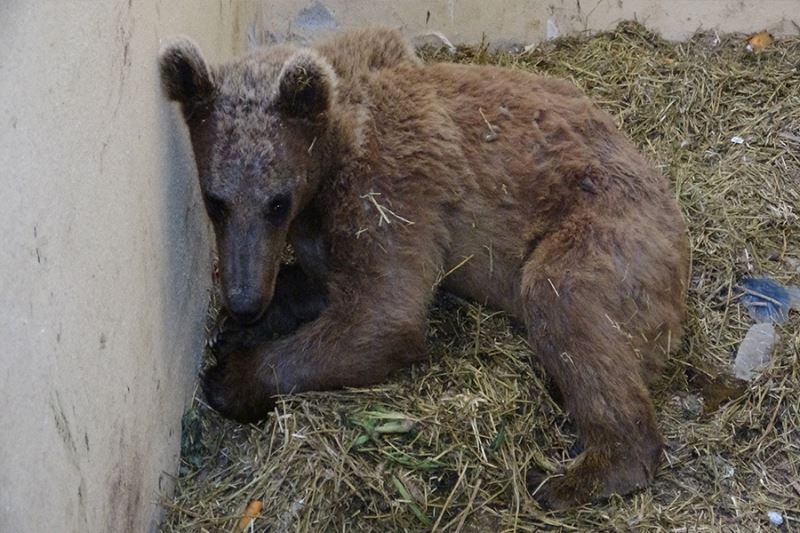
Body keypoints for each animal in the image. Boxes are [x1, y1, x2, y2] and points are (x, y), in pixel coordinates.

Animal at [161, 26, 688, 508]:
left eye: (276, 202)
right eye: (215, 201)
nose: (244, 300)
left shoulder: (389, 189)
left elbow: (382, 316)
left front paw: (230, 376)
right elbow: (325, 282)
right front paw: (239, 326)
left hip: (608, 228)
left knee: (569, 305)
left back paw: (570, 477)